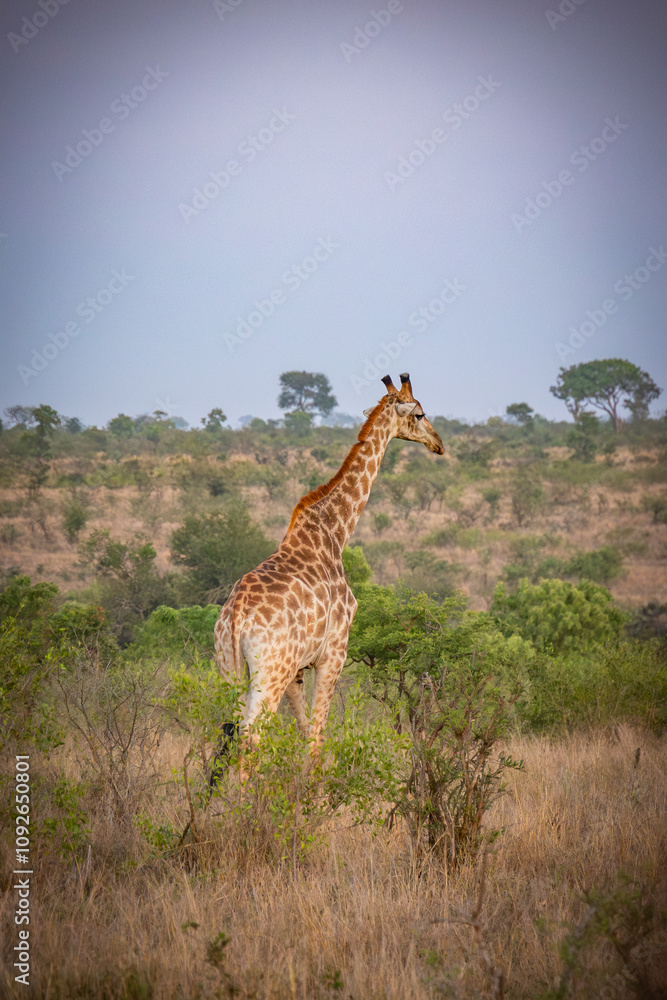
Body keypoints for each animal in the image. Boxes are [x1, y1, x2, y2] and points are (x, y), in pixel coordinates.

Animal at [213, 373, 444, 750]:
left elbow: (304, 730)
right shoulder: (333, 653)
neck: (335, 532)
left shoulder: (297, 670)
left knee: (230, 733)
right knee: (252, 736)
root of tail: (234, 620)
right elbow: (317, 737)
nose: (438, 444)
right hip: (269, 672)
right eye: (420, 414)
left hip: (227, 667)